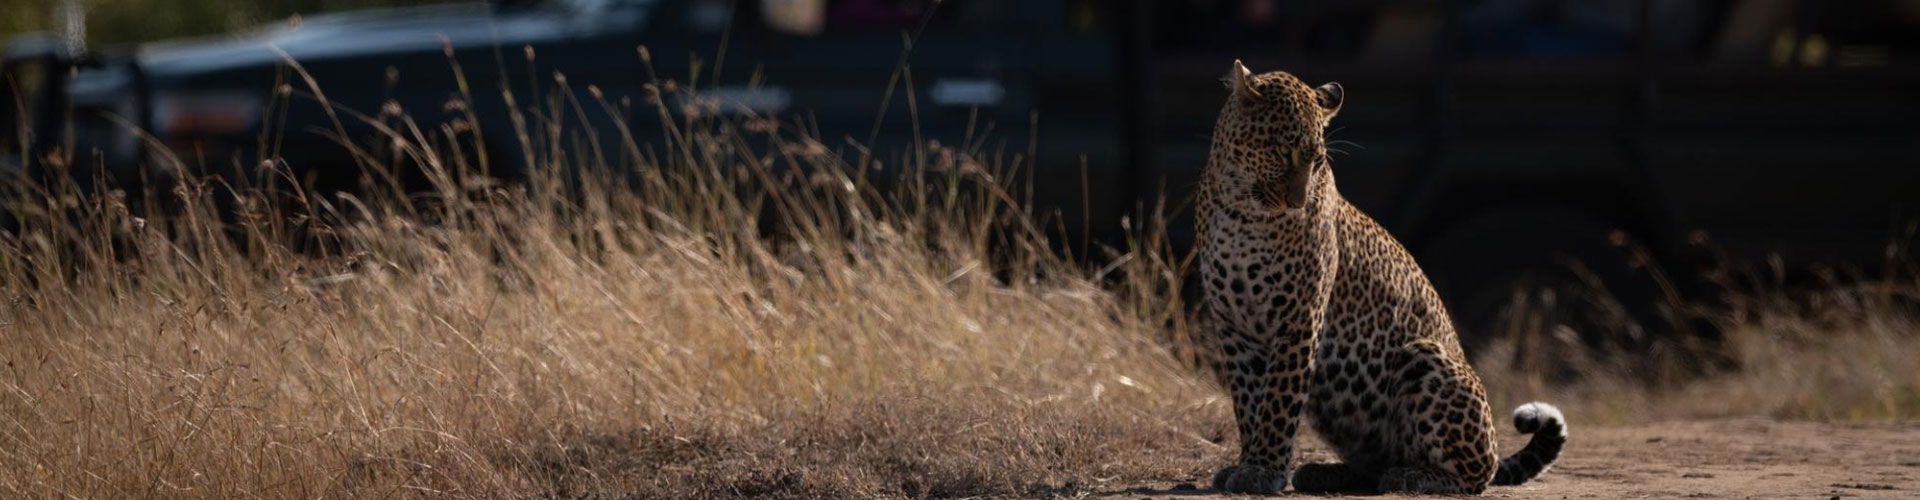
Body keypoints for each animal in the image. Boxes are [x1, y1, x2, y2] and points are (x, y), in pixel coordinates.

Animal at [1195, 60, 1568, 495]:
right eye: (1281, 150)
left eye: (1317, 162)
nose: (1298, 202)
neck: (1241, 209)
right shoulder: (1233, 326)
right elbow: (1249, 403)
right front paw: (1248, 463)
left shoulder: (1299, 317)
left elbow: (1278, 401)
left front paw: (1263, 469)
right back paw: (1325, 472)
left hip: (1423, 356)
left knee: (1473, 478)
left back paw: (1412, 476)